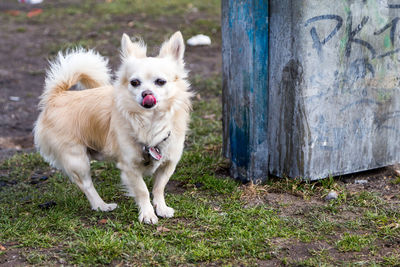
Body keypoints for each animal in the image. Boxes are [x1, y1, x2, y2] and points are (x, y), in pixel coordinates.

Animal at [32, 31, 192, 225]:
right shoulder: (129, 167)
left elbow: (159, 187)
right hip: (76, 159)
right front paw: (147, 214)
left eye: (160, 82)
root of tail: (57, 95)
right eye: (135, 83)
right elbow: (142, 190)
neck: (151, 121)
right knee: (86, 185)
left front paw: (161, 208)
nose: (146, 94)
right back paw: (101, 205)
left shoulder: (169, 163)